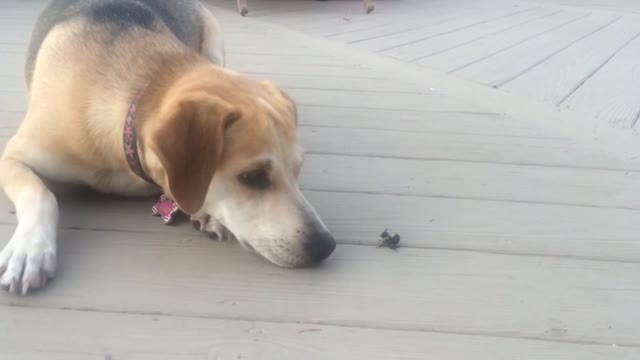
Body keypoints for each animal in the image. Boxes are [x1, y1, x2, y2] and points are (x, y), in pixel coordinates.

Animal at [0, 0, 338, 296]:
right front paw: (30, 249)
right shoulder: (11, 156)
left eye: (298, 170)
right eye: (253, 177)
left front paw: (207, 212)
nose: (327, 245)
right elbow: (42, 195)